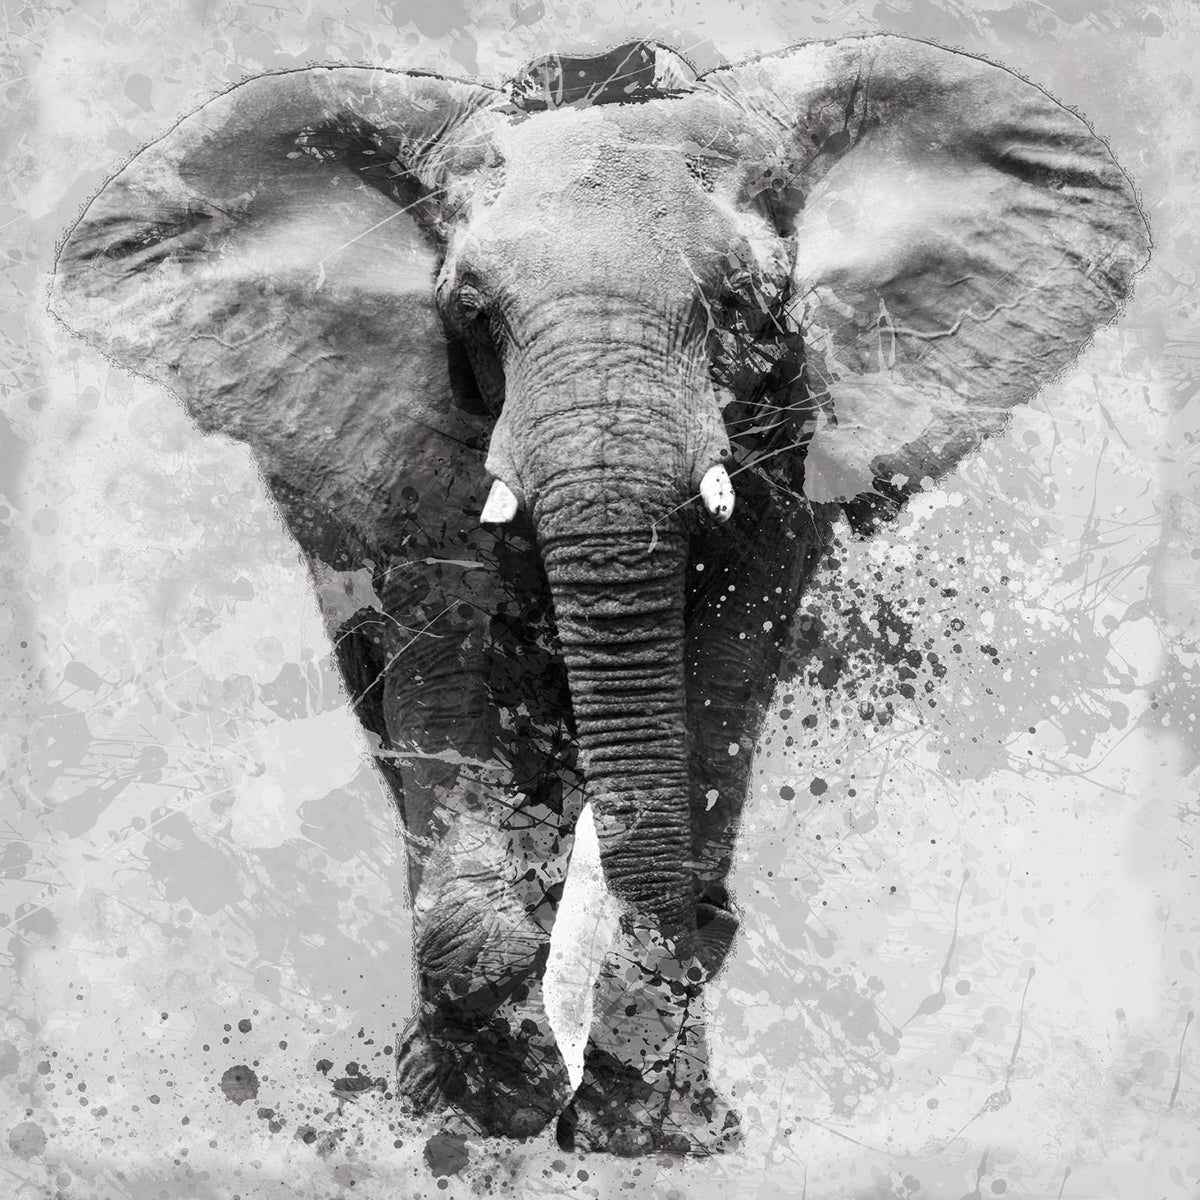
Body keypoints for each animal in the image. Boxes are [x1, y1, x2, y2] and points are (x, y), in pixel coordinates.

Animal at [49, 36, 1148, 1155]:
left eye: (743, 306)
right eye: (472, 313)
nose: (716, 923)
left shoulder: (792, 423)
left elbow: (721, 673)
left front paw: (648, 1128)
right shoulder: (419, 433)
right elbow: (448, 671)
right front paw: (485, 1105)